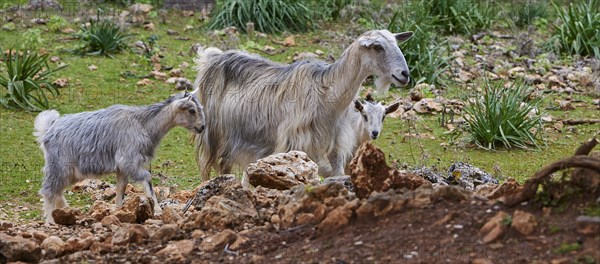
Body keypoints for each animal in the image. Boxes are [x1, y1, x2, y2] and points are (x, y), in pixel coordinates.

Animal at [35, 92, 205, 224]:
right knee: (49, 191)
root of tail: (48, 129)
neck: (143, 124)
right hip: (59, 166)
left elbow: (121, 189)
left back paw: (65, 210)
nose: (202, 127)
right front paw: (157, 209)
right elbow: (147, 178)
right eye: (191, 110)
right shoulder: (128, 160)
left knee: (57, 191)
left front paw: (118, 211)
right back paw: (51, 220)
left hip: (71, 172)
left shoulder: (122, 168)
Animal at [195, 29, 410, 180]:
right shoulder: (296, 145)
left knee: (225, 166)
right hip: (213, 135)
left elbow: (338, 175)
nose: (404, 74)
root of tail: (212, 57)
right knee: (210, 166)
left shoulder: (337, 147)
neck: (328, 97)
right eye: (377, 47)